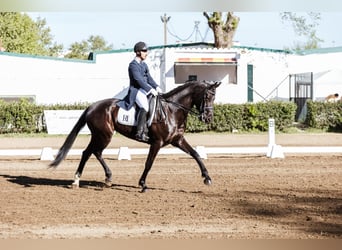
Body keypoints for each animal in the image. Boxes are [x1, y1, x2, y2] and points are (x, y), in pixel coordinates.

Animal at [50, 80, 222, 191]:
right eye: (207, 96)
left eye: (214, 97)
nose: (208, 118)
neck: (172, 110)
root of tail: (92, 107)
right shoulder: (157, 142)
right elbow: (149, 163)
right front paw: (143, 184)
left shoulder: (177, 140)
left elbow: (196, 154)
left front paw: (207, 178)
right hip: (104, 135)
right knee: (90, 152)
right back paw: (78, 181)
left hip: (101, 136)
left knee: (93, 152)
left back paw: (104, 179)